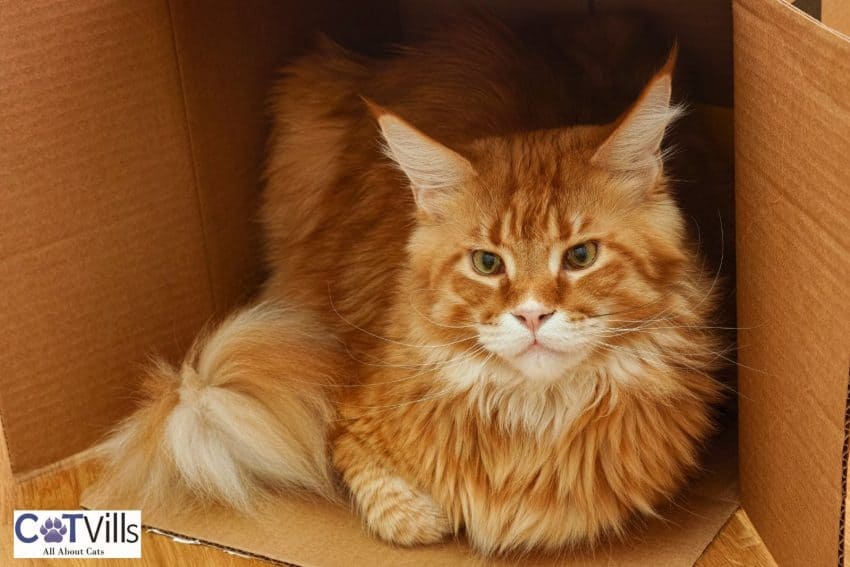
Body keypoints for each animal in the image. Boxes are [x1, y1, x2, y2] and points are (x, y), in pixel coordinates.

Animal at [97, 15, 724, 556]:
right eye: (486, 263)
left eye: (581, 255)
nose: (532, 315)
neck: (533, 420)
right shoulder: (345, 417)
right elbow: (392, 503)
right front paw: (427, 516)